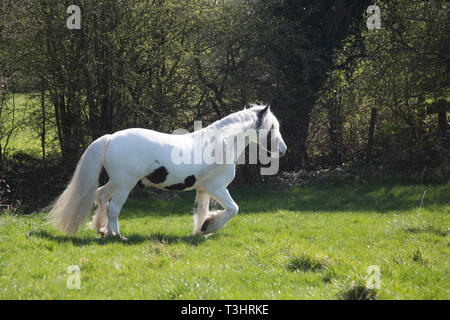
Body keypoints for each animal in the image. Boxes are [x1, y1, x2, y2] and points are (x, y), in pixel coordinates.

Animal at [49, 104, 286, 239]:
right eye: (273, 128)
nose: (283, 150)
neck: (219, 144)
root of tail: (110, 138)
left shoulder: (203, 190)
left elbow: (202, 211)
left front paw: (201, 232)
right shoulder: (217, 188)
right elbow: (233, 209)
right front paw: (210, 227)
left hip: (116, 181)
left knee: (100, 196)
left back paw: (101, 229)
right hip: (125, 184)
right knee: (114, 207)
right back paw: (116, 235)